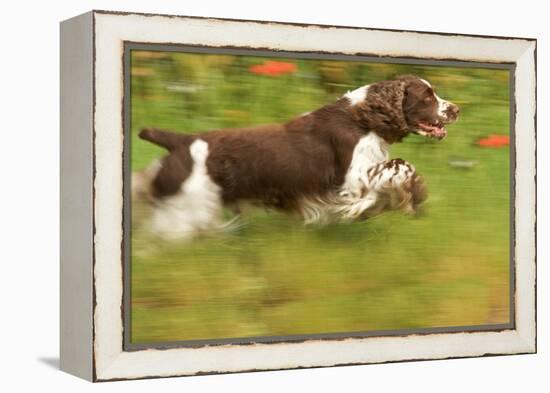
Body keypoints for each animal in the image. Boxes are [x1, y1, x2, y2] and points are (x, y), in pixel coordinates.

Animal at [136, 74, 460, 237]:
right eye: (427, 97)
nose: (456, 109)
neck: (363, 120)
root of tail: (180, 140)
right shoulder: (350, 180)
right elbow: (399, 166)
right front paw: (413, 194)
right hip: (184, 210)